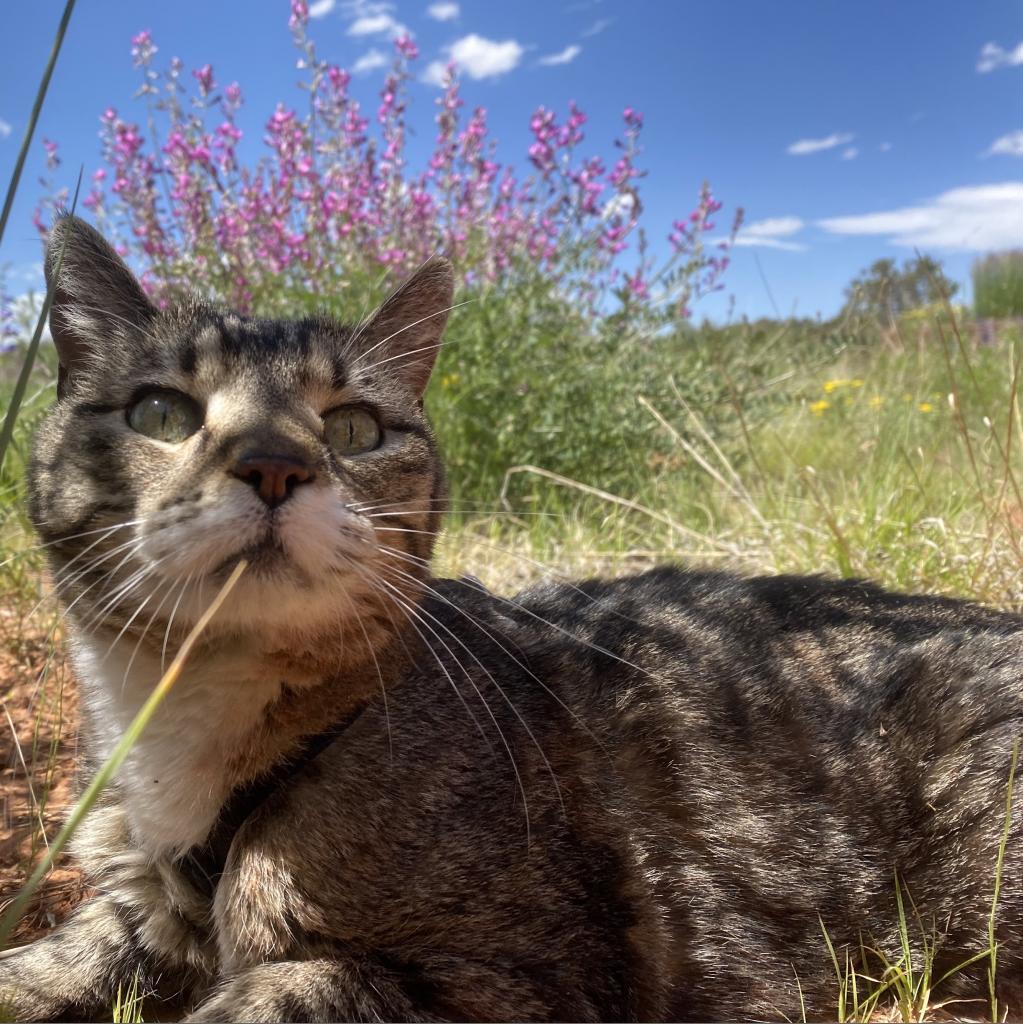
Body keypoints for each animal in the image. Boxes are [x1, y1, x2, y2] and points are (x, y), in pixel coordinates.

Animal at [2, 211, 1023, 1019]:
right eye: (162, 414)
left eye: (354, 429)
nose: (273, 463)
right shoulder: (135, 901)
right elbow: (53, 959)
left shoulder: (531, 977)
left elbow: (280, 989)